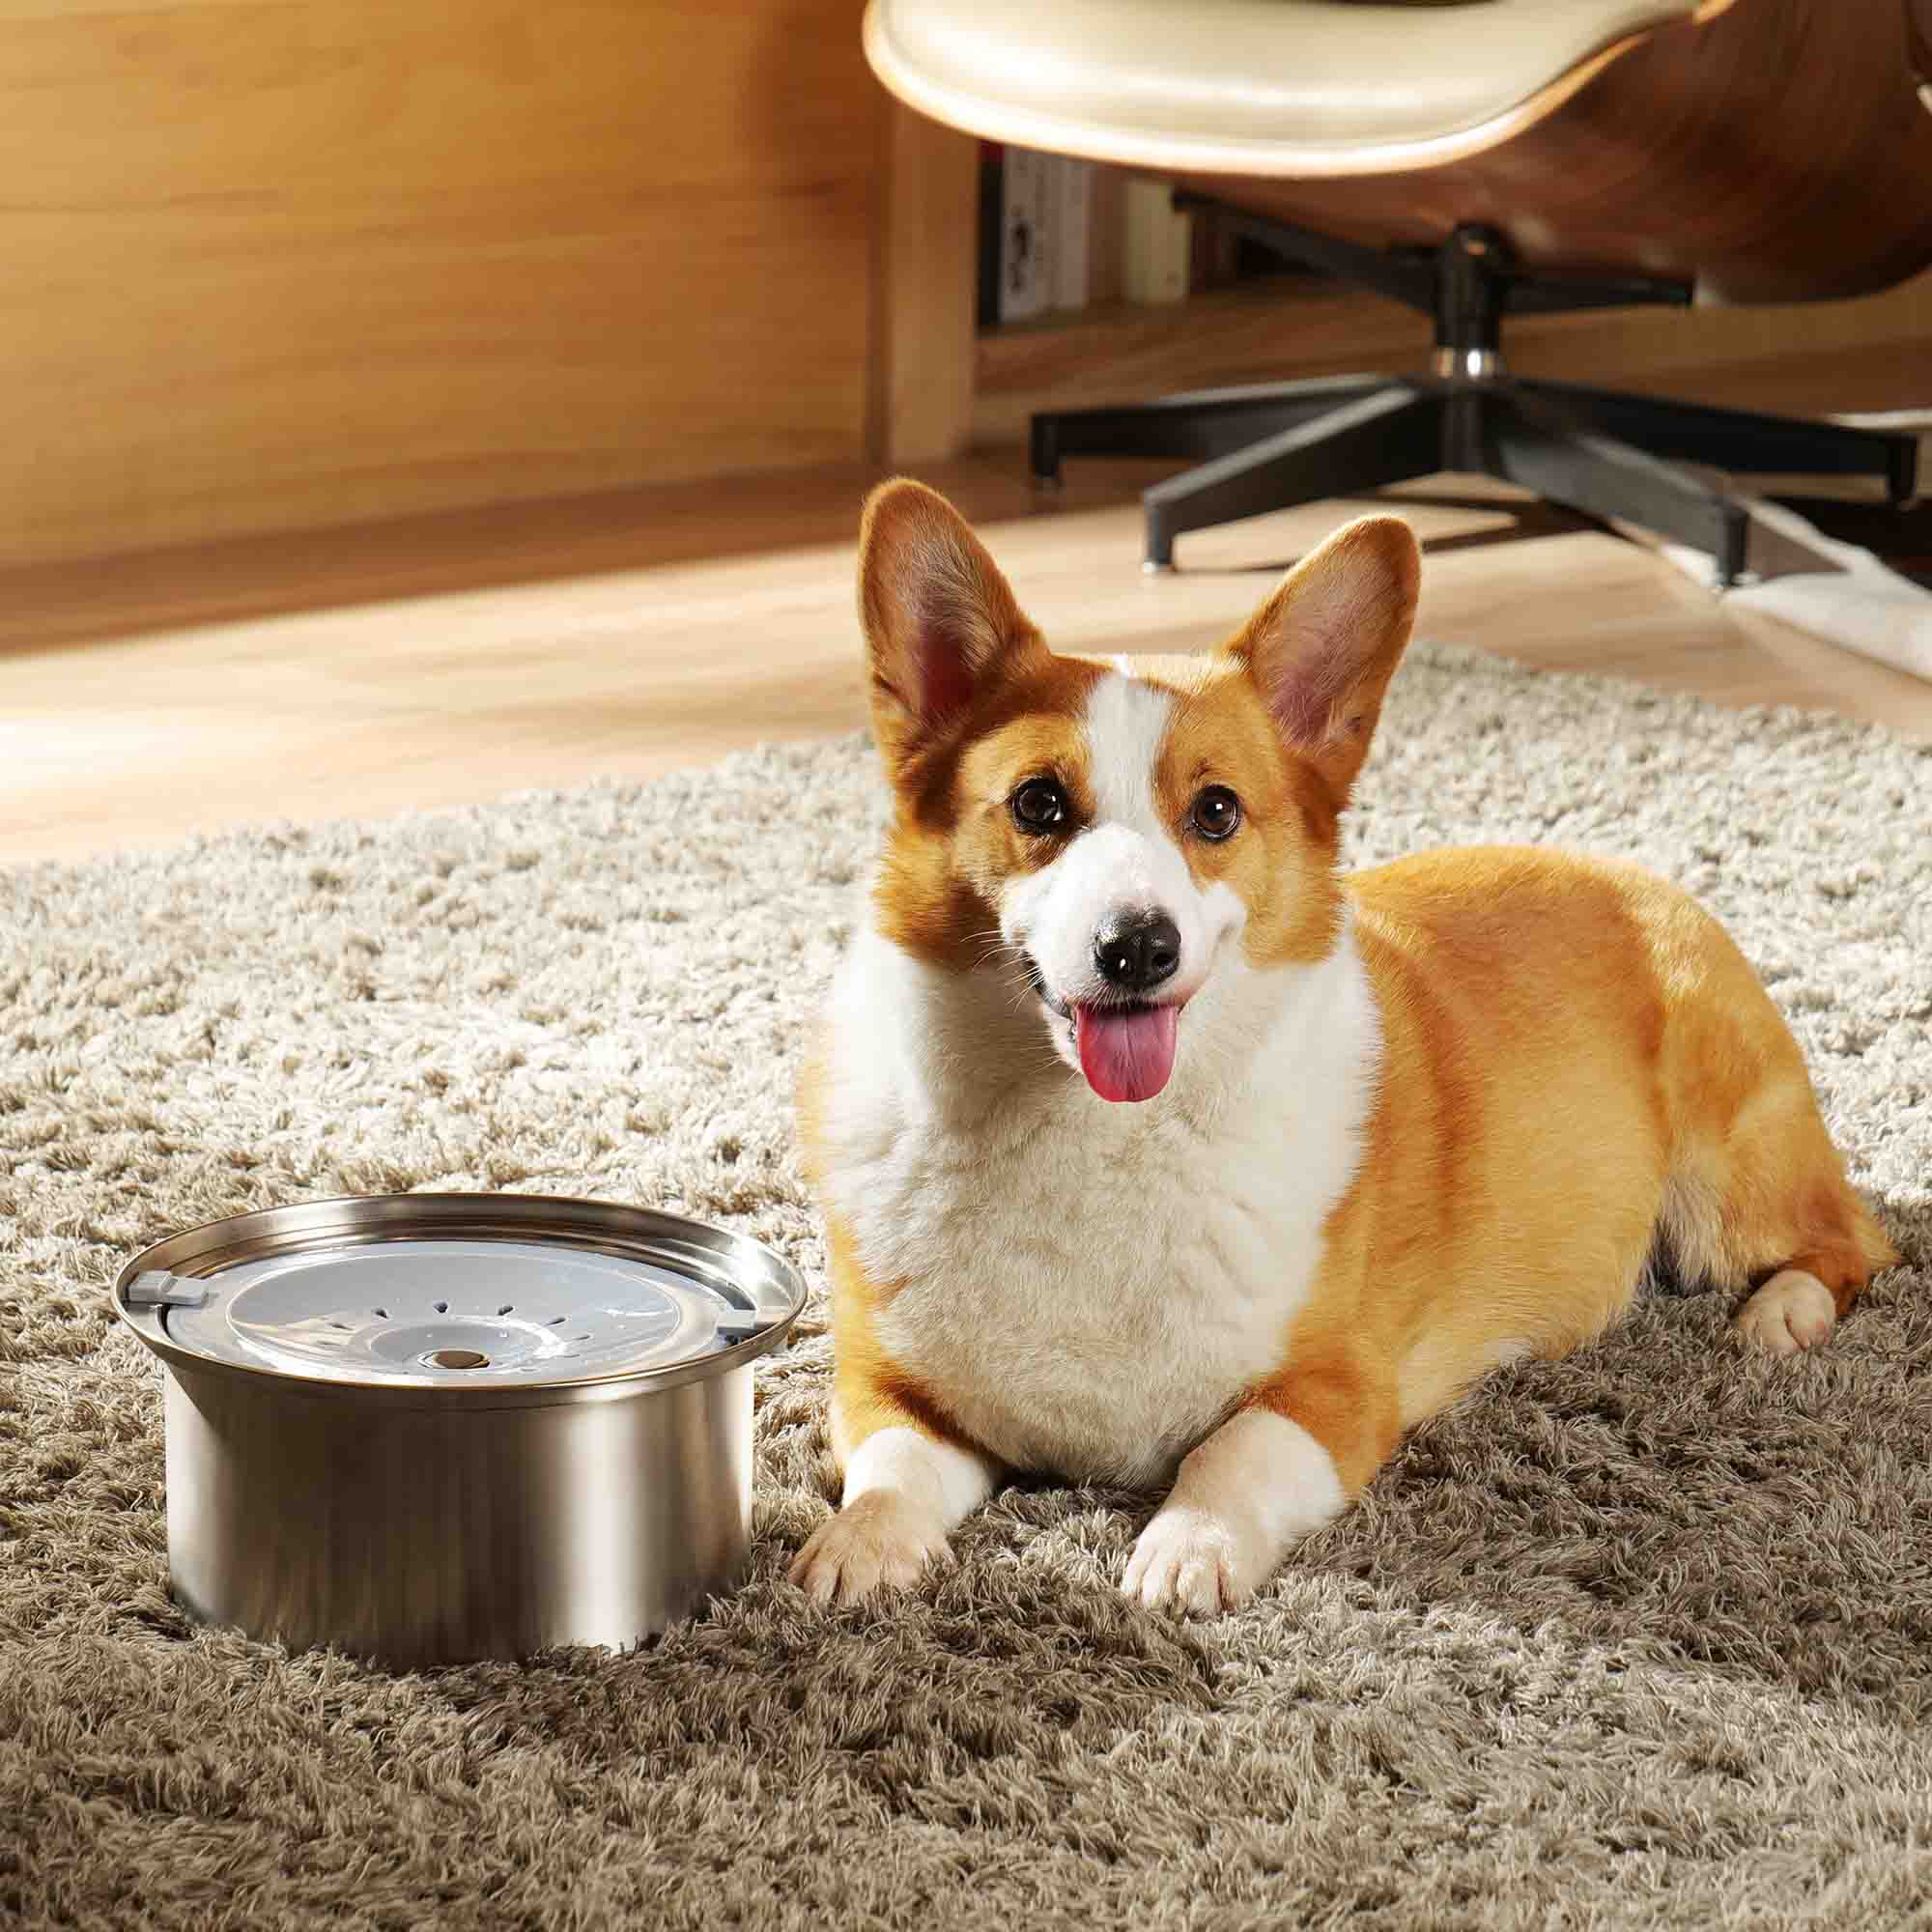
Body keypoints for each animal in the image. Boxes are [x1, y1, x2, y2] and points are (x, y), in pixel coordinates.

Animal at [788, 483, 1901, 1615]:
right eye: (1037, 803)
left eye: (1216, 811)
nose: (1137, 946)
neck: (1097, 1133)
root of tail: (1647, 881)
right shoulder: (884, 1386)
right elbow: (891, 1470)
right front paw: (860, 1548)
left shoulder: (1332, 1394)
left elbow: (1224, 1455)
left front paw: (1181, 1552)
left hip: (1728, 1183)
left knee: (1852, 1238)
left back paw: (1782, 1315)